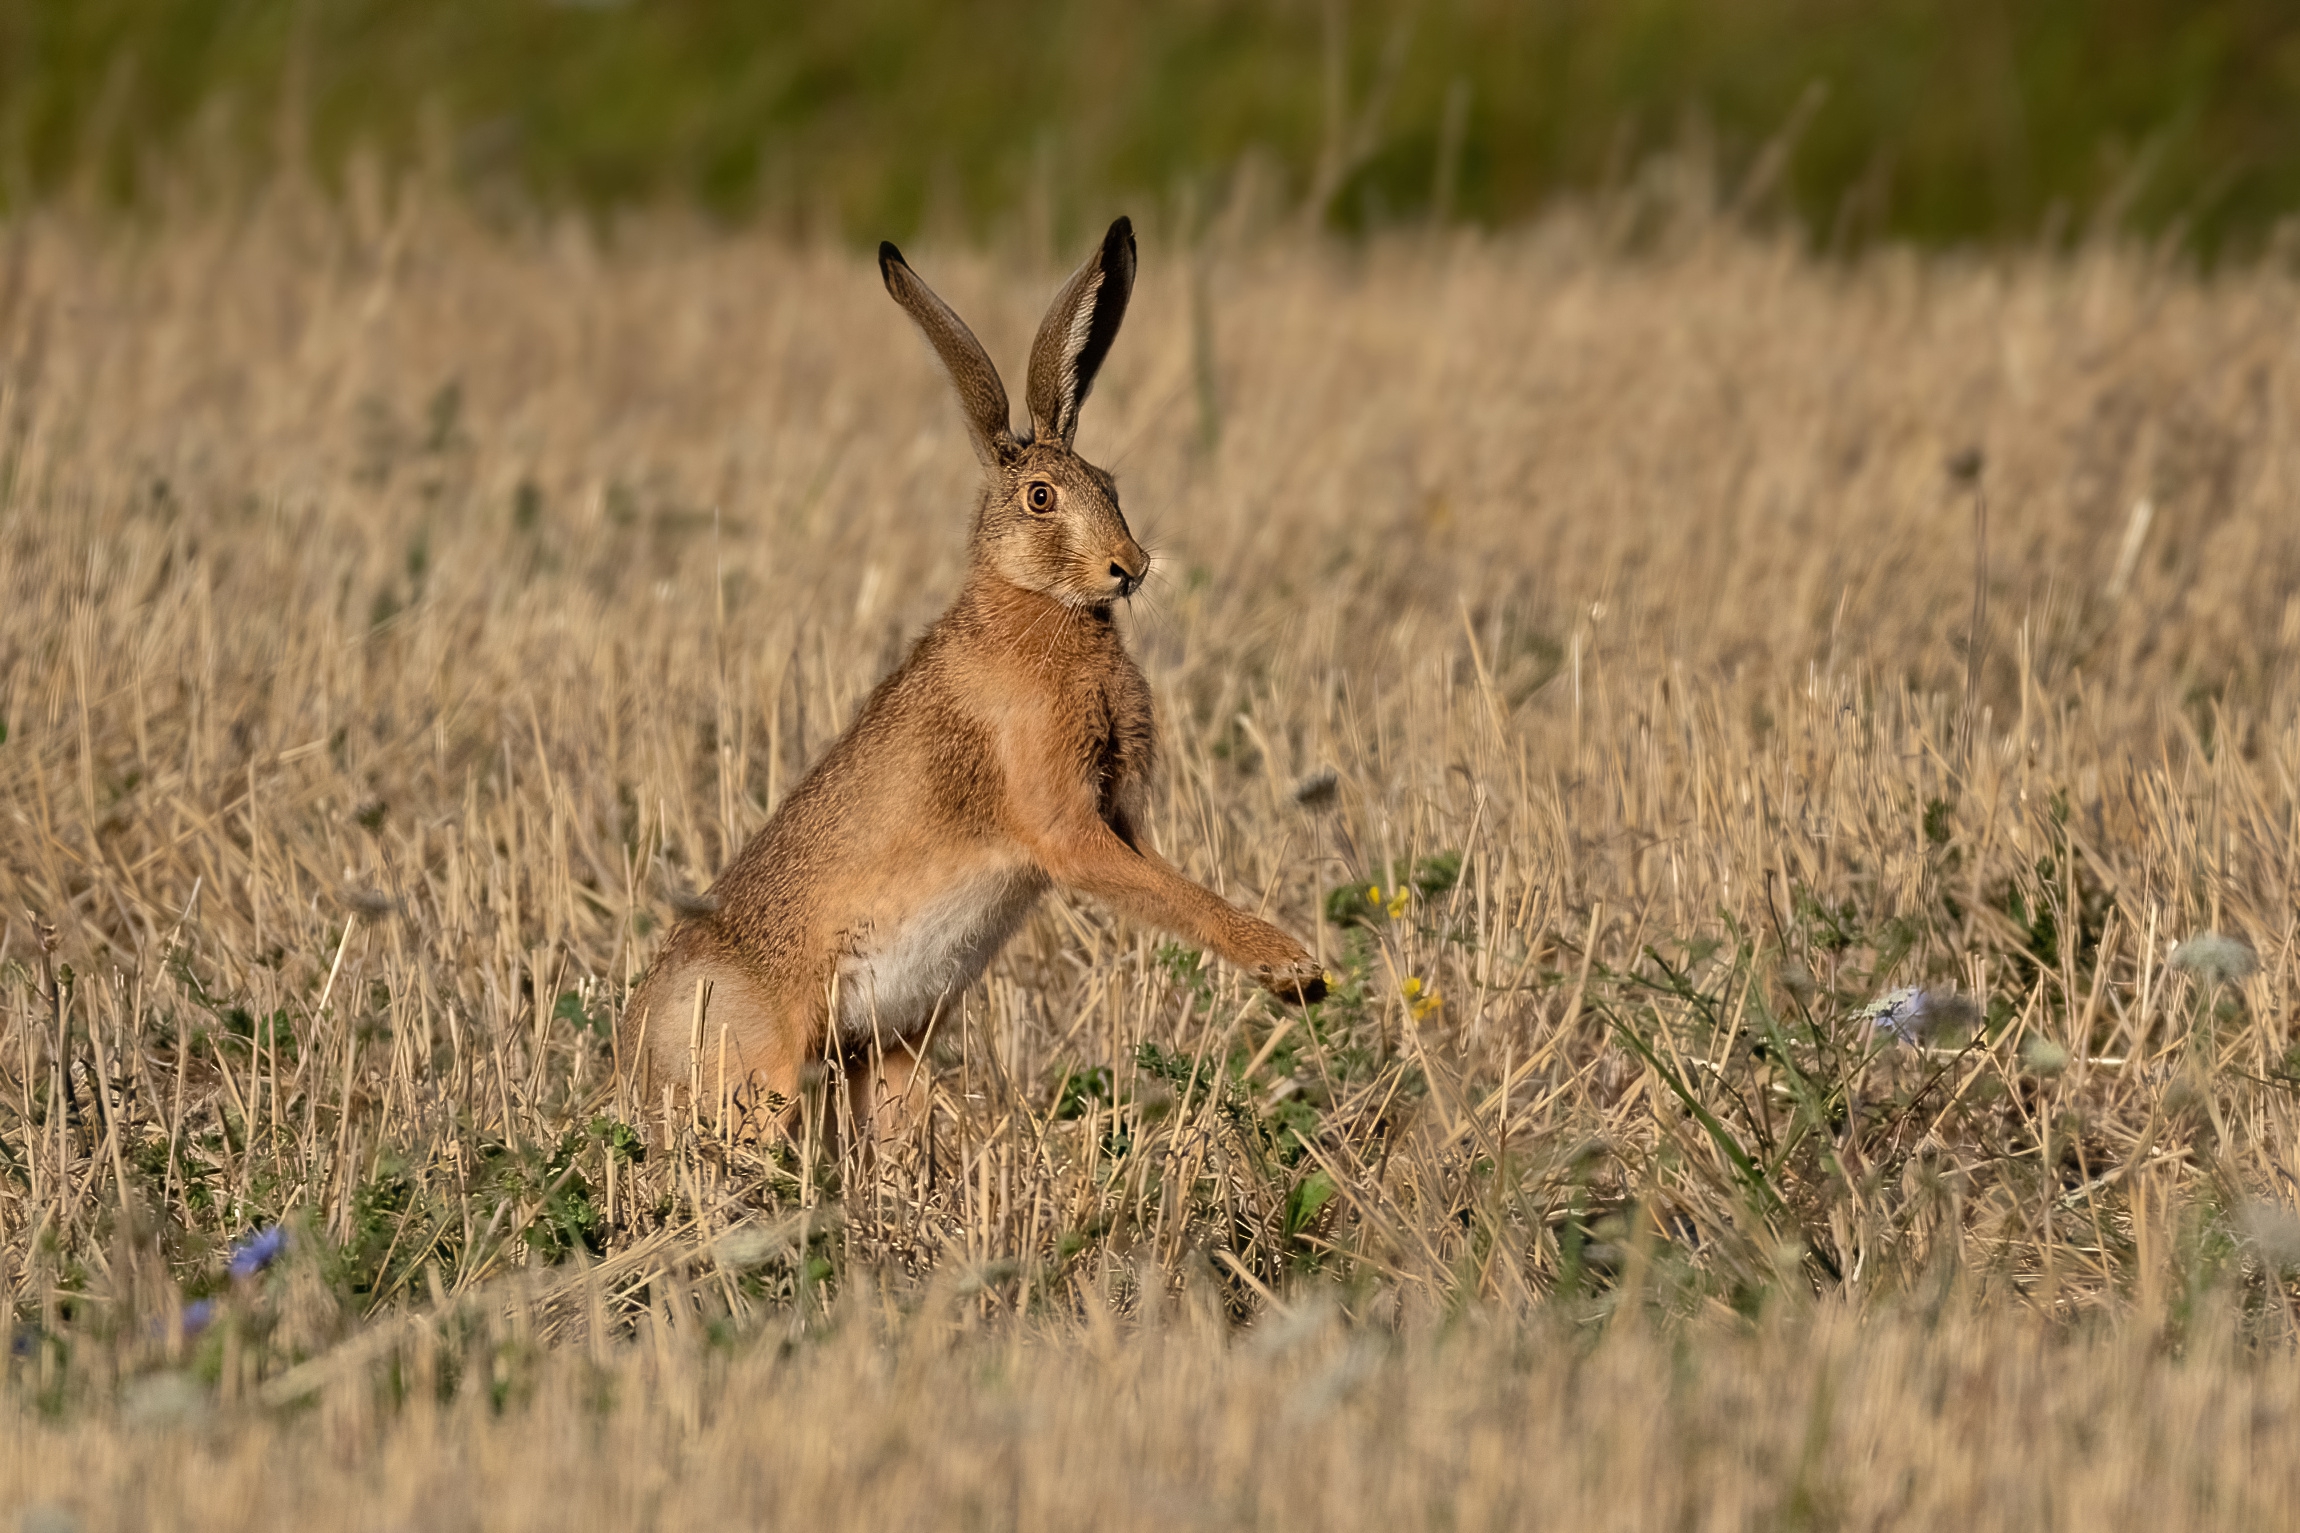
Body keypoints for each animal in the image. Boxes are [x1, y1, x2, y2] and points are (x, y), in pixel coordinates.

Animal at [618, 217, 1326, 1142]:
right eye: (1040, 497)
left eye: (1111, 485)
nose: (1129, 567)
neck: (1038, 607)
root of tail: (639, 1055)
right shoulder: (1066, 827)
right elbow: (1168, 894)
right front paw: (1292, 968)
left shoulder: (1116, 817)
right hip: (770, 1069)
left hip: (886, 1055)